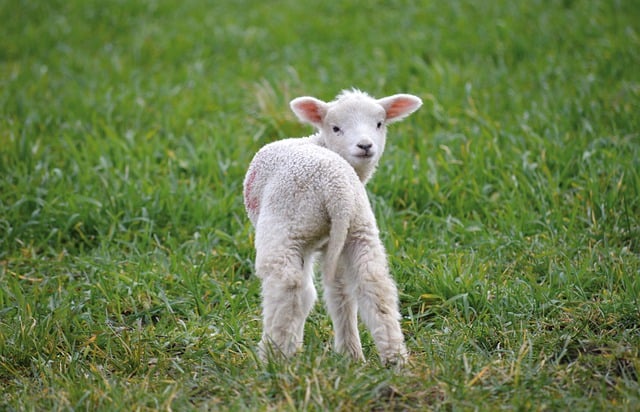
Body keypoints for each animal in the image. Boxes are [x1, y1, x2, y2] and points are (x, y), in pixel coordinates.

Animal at [242, 88, 422, 366]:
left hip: (286, 226)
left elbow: (306, 294)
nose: (365, 145)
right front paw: (346, 354)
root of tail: (336, 190)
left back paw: (272, 358)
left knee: (288, 286)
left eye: (379, 124)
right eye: (336, 128)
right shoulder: (331, 244)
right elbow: (337, 293)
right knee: (374, 283)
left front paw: (294, 346)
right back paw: (392, 360)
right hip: (358, 228)